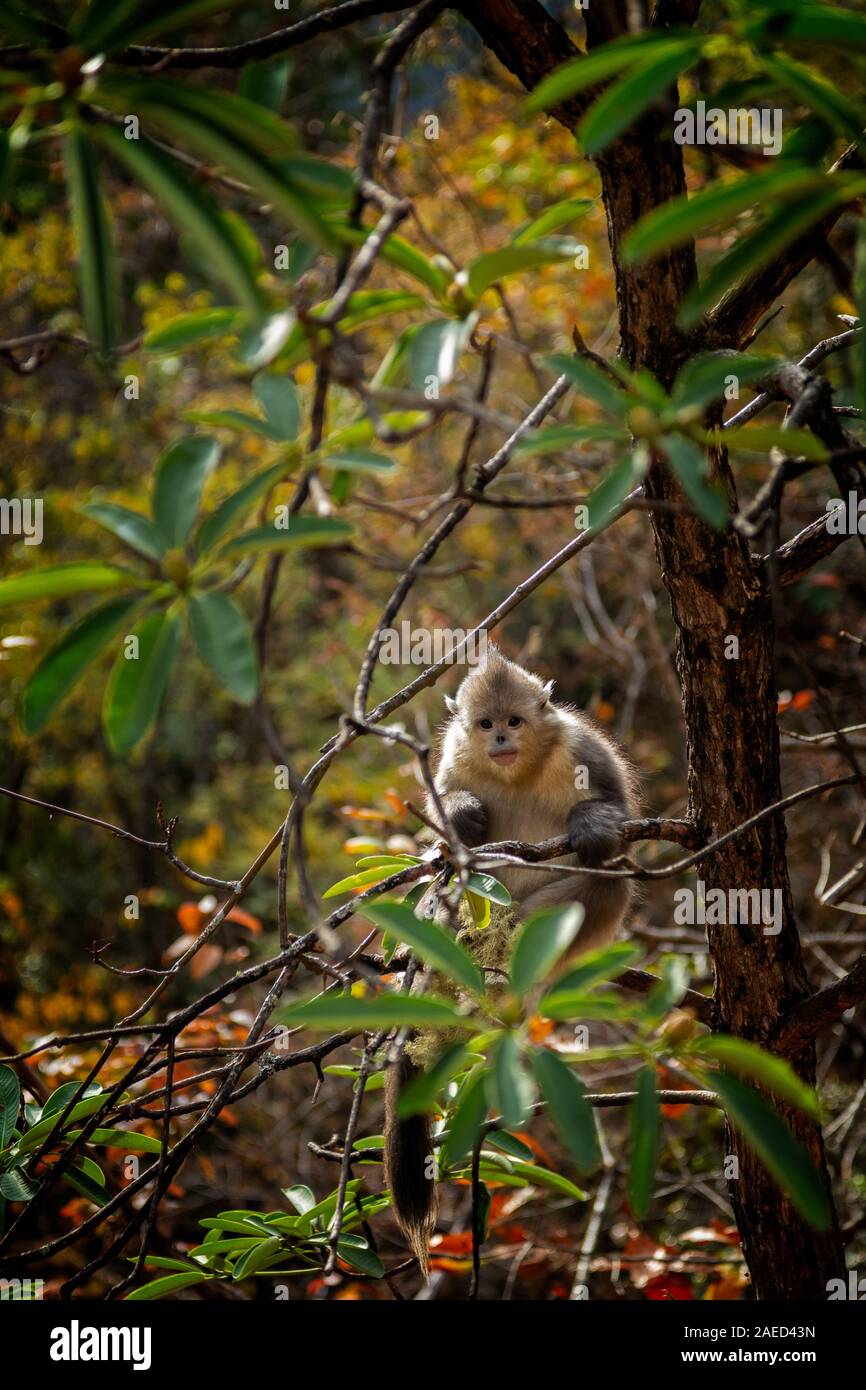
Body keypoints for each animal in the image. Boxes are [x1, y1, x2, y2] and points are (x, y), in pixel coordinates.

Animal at [383, 646, 639, 1274]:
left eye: (515, 721)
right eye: (484, 724)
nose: (500, 738)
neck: (515, 770)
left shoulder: (580, 745)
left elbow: (616, 818)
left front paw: (593, 825)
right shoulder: (452, 758)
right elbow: (443, 833)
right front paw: (463, 816)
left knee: (606, 882)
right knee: (451, 885)